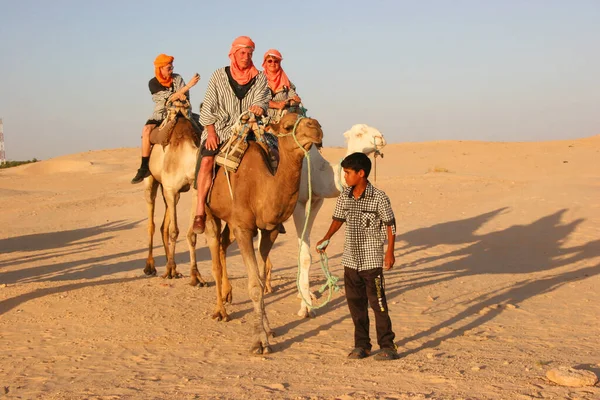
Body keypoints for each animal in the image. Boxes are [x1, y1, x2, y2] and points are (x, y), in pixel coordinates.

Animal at [144, 106, 210, 288]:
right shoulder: (171, 189)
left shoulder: (193, 191)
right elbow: (174, 231)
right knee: (152, 222)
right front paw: (169, 271)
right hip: (152, 181)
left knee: (163, 226)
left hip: (172, 193)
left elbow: (192, 234)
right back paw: (151, 267)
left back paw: (172, 267)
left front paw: (196, 276)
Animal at [204, 111, 324, 354]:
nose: (315, 127)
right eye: (287, 125)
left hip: (229, 222)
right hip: (210, 210)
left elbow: (260, 277)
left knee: (222, 244)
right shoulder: (243, 229)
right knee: (214, 254)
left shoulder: (270, 231)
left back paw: (228, 293)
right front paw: (259, 342)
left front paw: (268, 330)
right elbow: (254, 286)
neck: (261, 186)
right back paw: (220, 311)